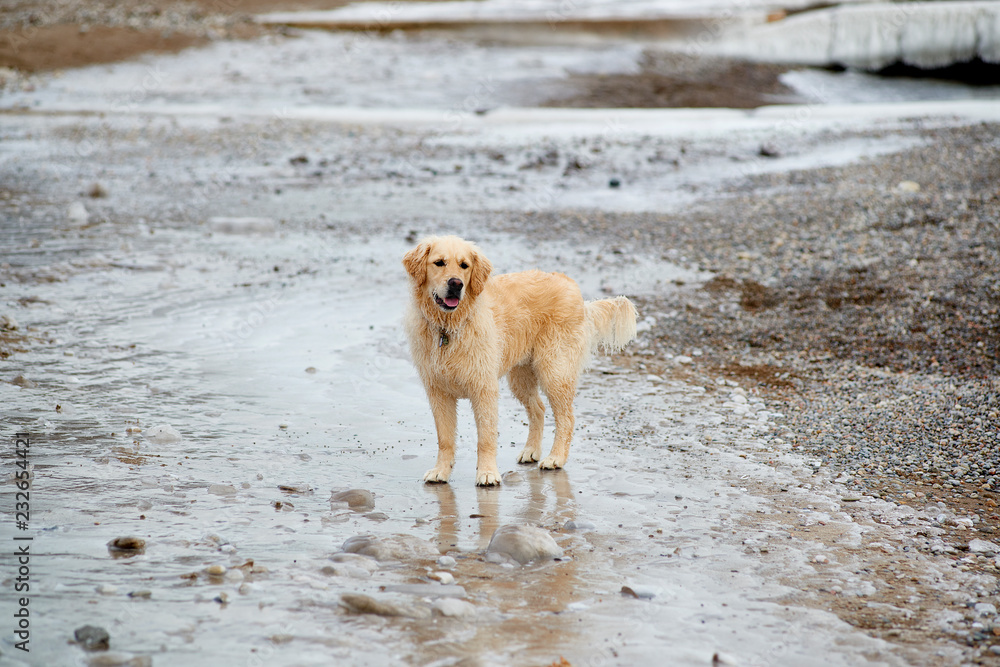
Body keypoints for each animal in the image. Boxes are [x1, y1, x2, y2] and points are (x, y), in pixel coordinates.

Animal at [402, 235, 636, 486]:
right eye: (439, 263)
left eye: (464, 266)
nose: (456, 284)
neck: (448, 327)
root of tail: (576, 292)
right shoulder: (438, 391)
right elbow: (445, 439)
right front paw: (441, 471)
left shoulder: (484, 388)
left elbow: (485, 437)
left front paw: (487, 473)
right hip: (521, 377)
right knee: (539, 409)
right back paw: (531, 451)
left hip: (554, 370)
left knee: (567, 418)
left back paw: (555, 458)